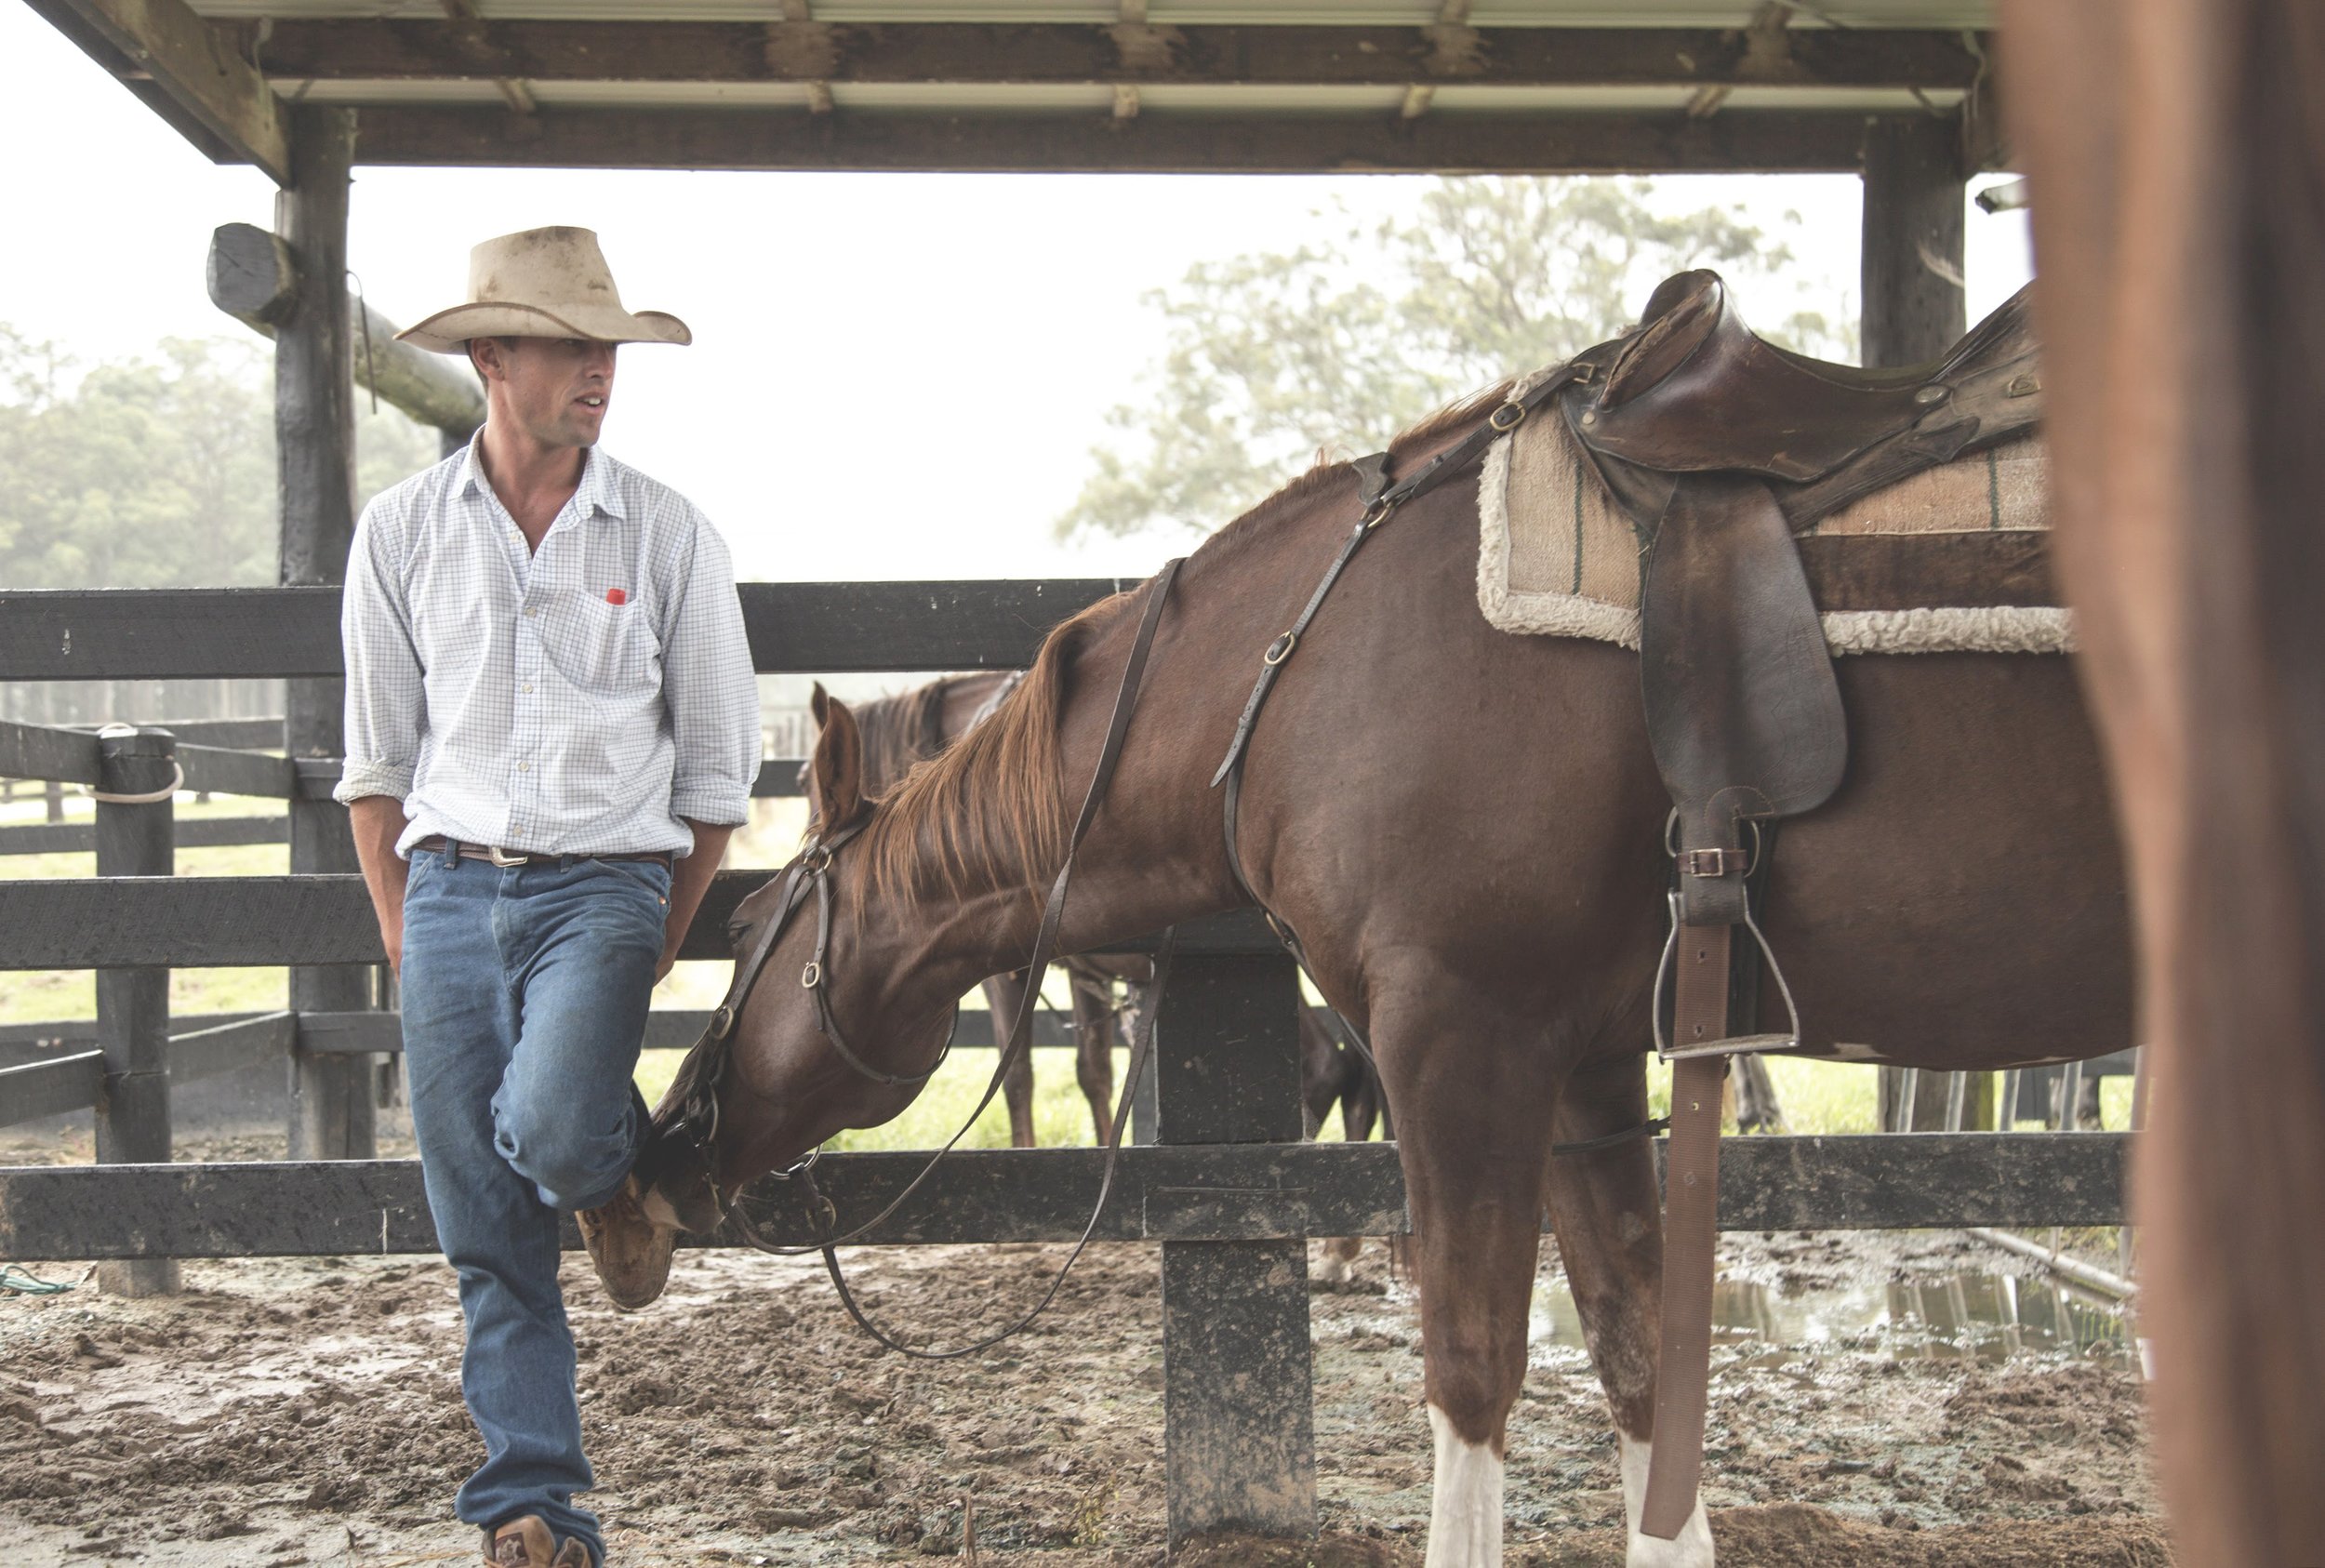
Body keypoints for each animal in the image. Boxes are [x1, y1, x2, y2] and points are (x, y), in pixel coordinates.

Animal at [609, 358, 2130, 1562]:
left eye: (741, 926)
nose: (655, 1159)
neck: (1307, 668)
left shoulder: (1462, 1044)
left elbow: (1472, 1371)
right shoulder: (1585, 1070)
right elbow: (1637, 1357)